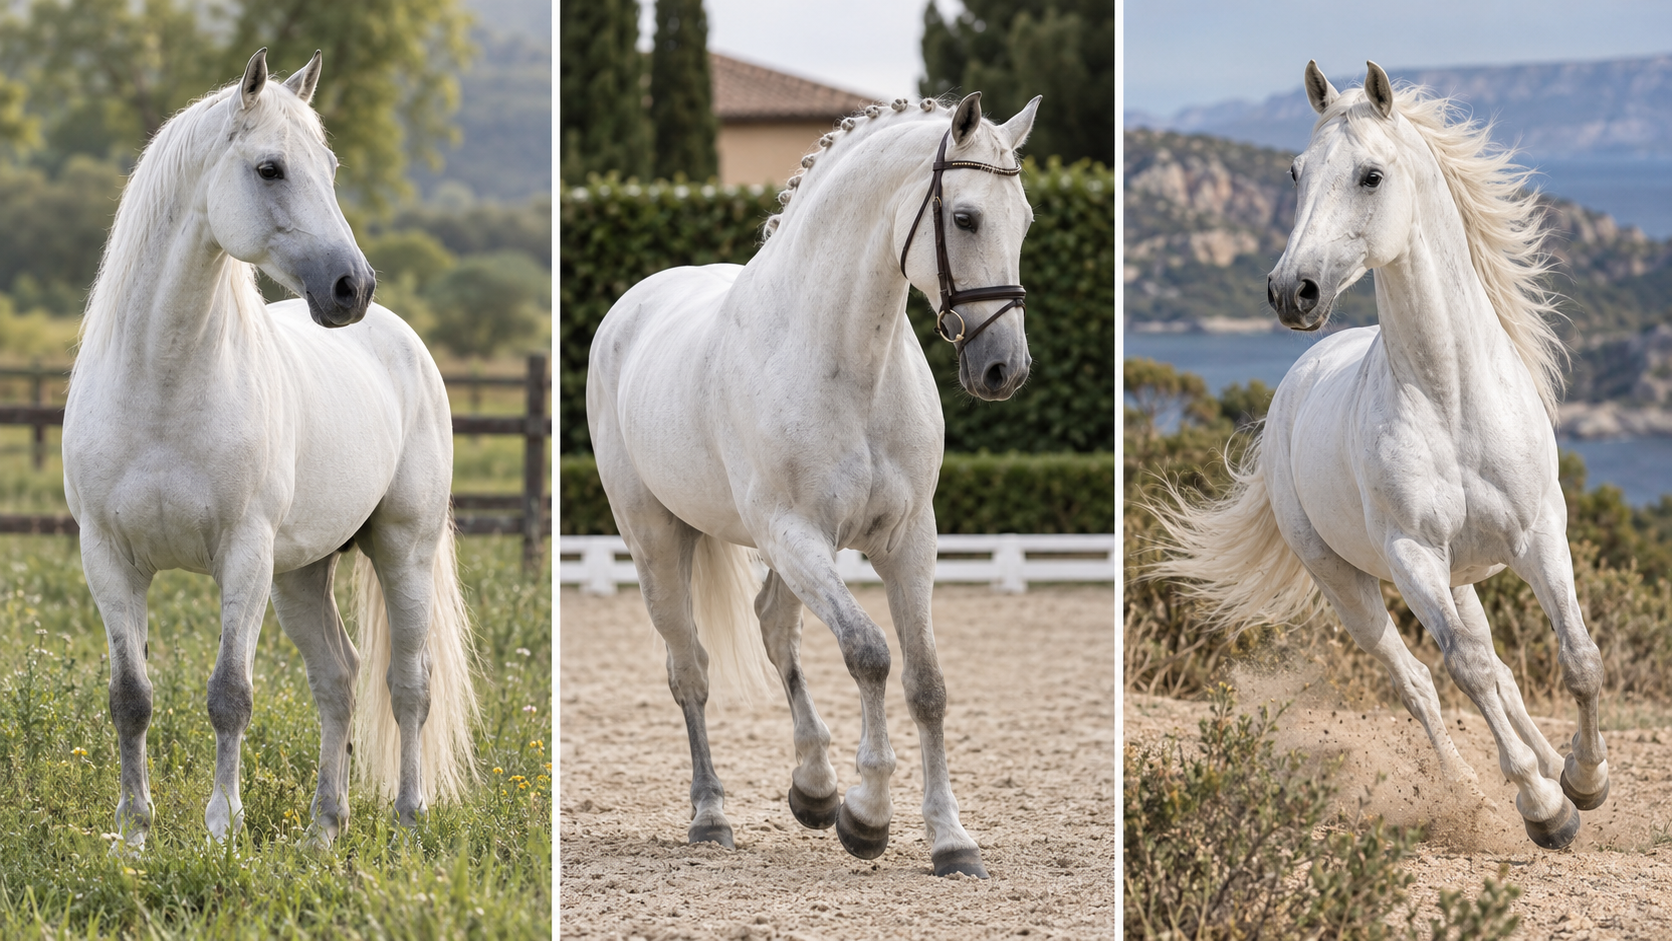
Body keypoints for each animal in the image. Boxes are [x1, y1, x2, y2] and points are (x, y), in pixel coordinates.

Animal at [61, 49, 477, 852]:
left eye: (332, 166)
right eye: (270, 168)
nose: (352, 287)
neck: (162, 385)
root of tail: (403, 339)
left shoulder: (244, 553)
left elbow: (230, 693)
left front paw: (222, 828)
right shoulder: (108, 557)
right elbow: (130, 697)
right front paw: (133, 836)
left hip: (401, 549)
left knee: (408, 686)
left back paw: (408, 825)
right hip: (302, 574)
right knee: (338, 678)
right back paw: (323, 830)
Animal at [587, 92, 1041, 878]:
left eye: (1027, 221)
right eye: (965, 218)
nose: (1003, 369)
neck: (847, 361)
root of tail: (637, 301)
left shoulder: (908, 539)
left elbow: (926, 682)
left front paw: (950, 838)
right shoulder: (794, 533)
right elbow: (869, 652)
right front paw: (868, 818)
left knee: (773, 626)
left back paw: (814, 786)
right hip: (657, 539)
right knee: (690, 668)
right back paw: (713, 814)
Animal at [1154, 61, 1608, 850]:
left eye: (1371, 175)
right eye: (1296, 171)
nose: (1291, 291)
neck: (1451, 397)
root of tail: (1297, 380)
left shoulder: (1540, 533)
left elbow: (1576, 658)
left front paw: (1586, 778)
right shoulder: (1411, 555)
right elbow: (1465, 672)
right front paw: (1545, 810)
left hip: (1463, 576)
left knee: (1502, 670)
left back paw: (1550, 765)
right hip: (1351, 585)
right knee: (1421, 680)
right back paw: (1473, 788)